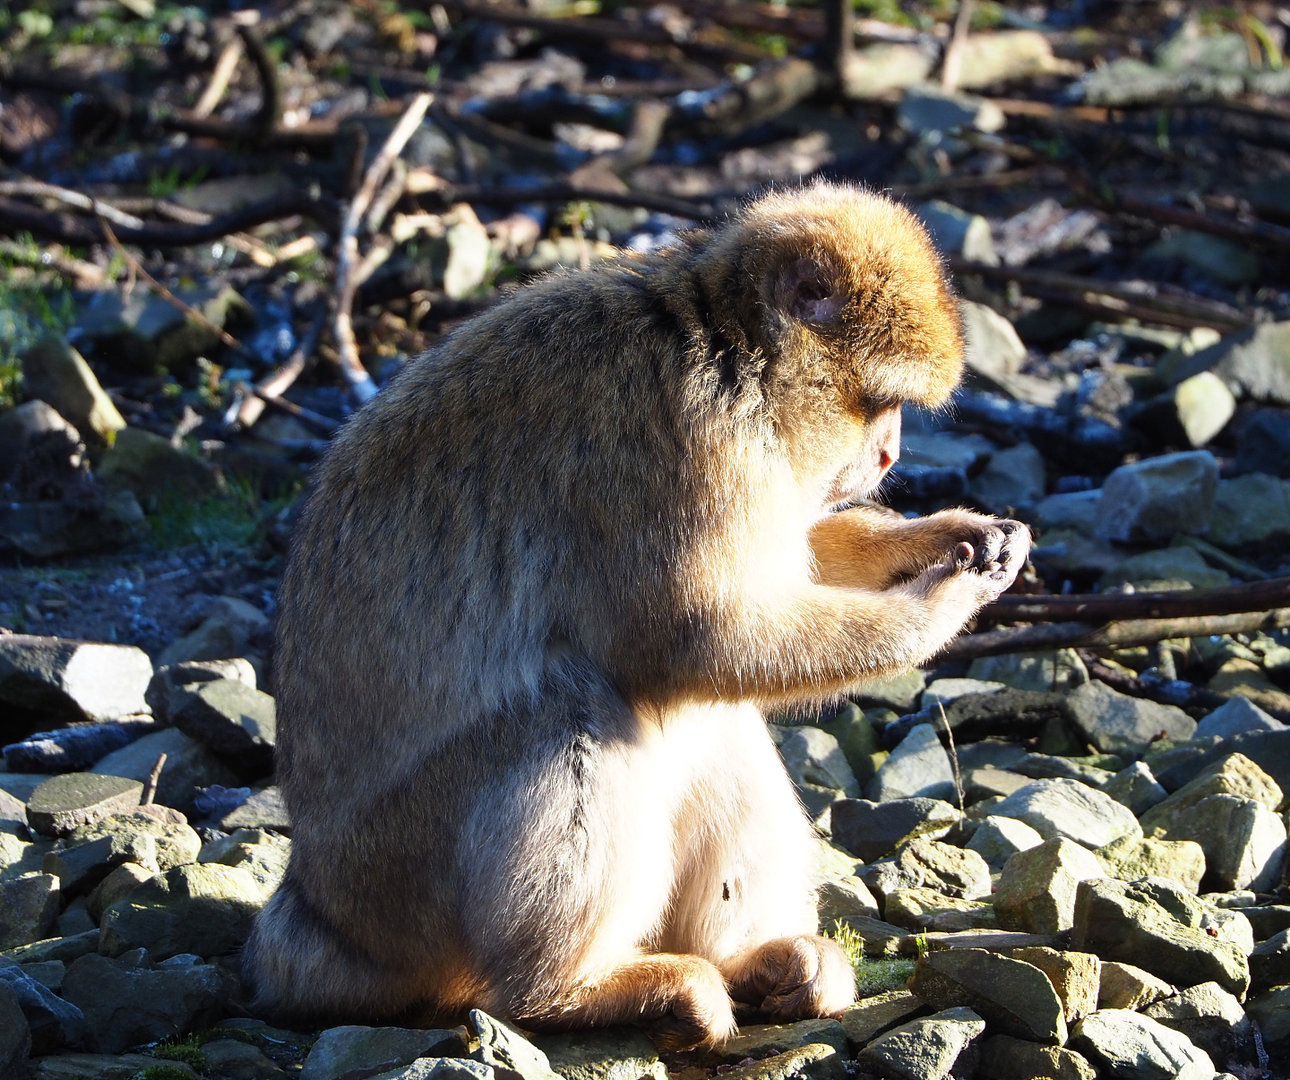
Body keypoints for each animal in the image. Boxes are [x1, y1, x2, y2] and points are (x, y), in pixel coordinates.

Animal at [241, 182, 1031, 1050]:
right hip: (398, 875)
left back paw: (759, 960)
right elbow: (693, 641)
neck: (726, 347)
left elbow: (770, 579)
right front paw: (939, 608)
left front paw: (946, 535)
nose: (890, 453)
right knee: (573, 704)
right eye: (880, 403)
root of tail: (315, 910)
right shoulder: (678, 439)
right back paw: (572, 990)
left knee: (711, 722)